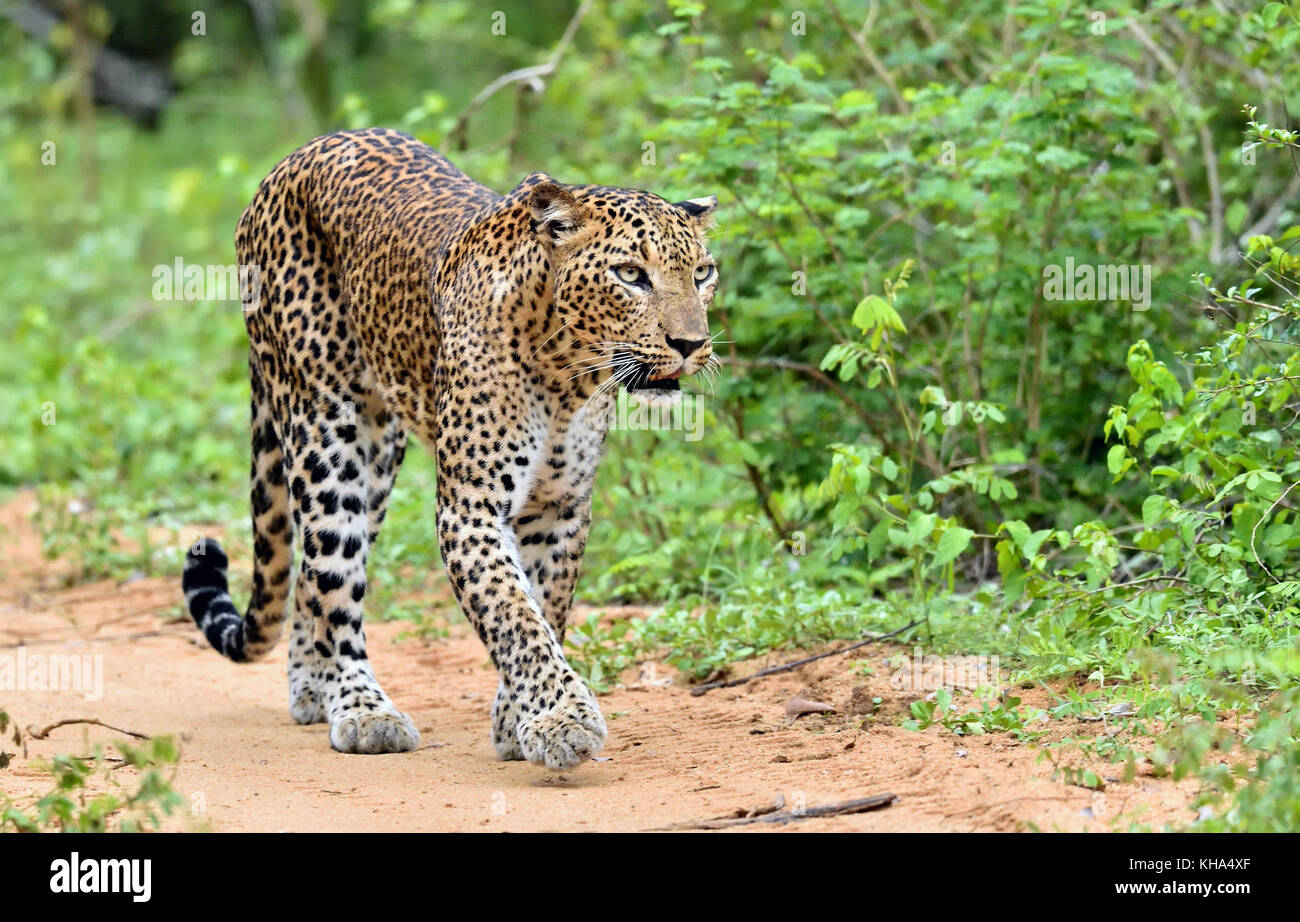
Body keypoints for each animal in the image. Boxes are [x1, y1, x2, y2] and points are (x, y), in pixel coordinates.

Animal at [180, 126, 722, 764]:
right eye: (632, 274)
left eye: (703, 273)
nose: (692, 344)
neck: (566, 375)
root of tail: (295, 157)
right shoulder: (471, 506)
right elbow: (513, 614)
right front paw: (561, 720)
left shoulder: (559, 507)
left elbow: (544, 606)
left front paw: (517, 720)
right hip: (326, 433)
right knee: (332, 576)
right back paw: (361, 709)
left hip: (379, 459)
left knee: (310, 576)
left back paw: (312, 690)